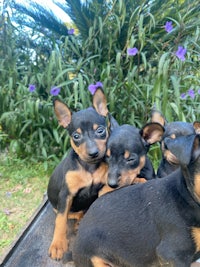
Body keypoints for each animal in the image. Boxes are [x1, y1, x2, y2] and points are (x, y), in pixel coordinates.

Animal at [47, 89, 109, 260]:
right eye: (76, 136)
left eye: (100, 131)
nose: (93, 153)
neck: (89, 167)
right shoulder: (66, 195)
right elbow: (61, 221)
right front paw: (58, 245)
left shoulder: (103, 185)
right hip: (59, 206)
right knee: (67, 214)